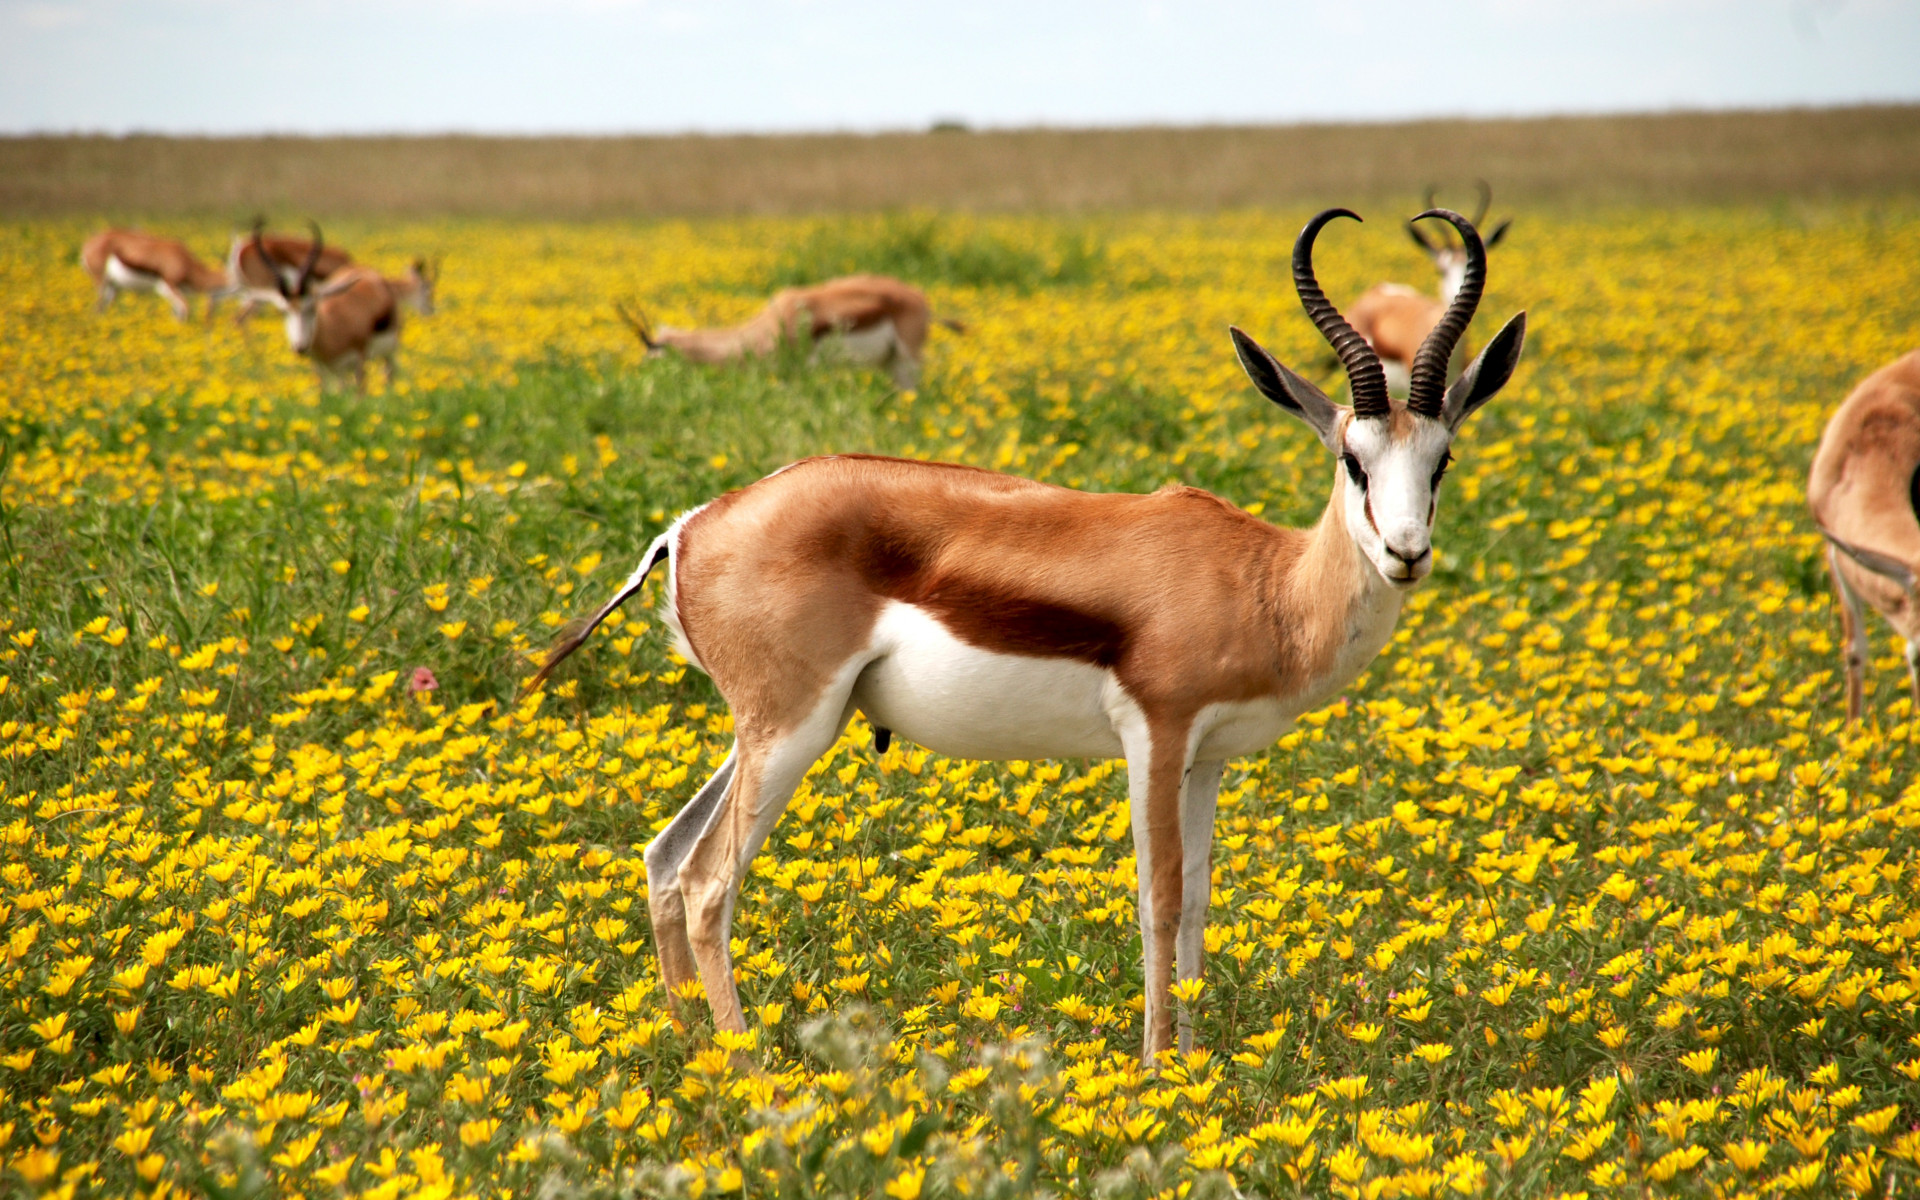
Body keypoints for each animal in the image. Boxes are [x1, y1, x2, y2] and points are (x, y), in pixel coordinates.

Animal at [79, 229, 233, 321]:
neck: (185, 260)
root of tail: (87, 245)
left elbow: (176, 312)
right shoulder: (168, 284)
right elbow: (184, 308)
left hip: (113, 286)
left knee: (102, 307)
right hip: (101, 282)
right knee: (98, 305)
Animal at [253, 228, 405, 393]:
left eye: (312, 308)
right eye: (283, 311)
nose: (300, 347)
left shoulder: (358, 361)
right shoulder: (322, 368)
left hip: (388, 354)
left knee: (388, 376)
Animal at [616, 274, 964, 390]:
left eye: (651, 350)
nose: (638, 375)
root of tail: (921, 300)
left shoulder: (798, 369)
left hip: (907, 361)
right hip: (889, 363)